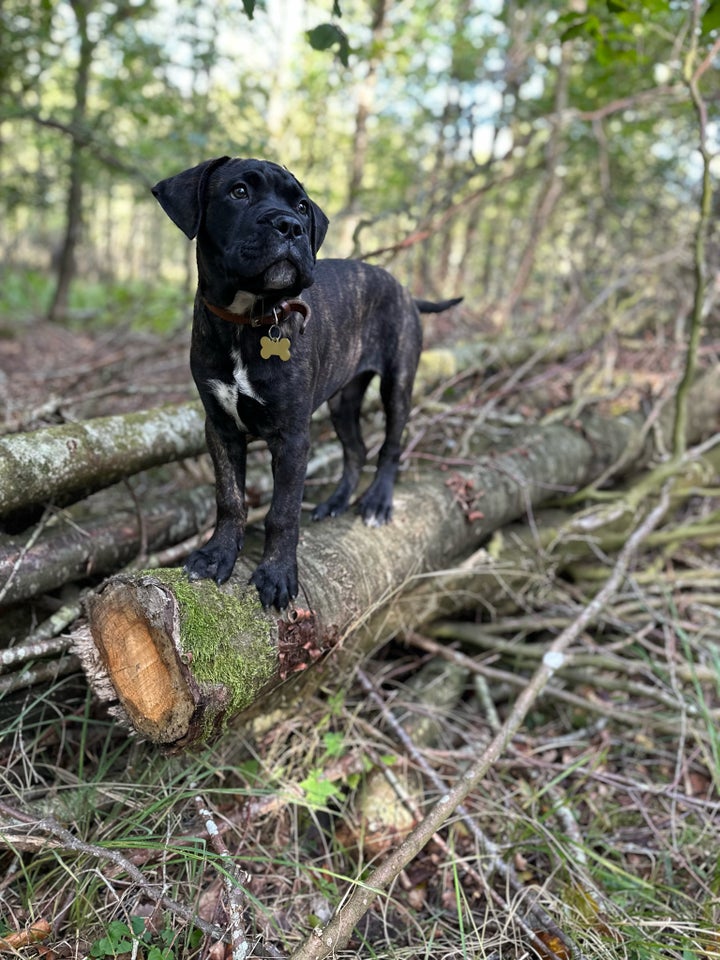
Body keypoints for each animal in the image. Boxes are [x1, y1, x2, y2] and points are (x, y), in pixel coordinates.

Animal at [153, 157, 462, 608]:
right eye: (239, 192)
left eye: (301, 206)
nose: (290, 226)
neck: (247, 320)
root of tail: (404, 290)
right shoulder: (221, 427)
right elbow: (229, 497)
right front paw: (217, 555)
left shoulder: (293, 436)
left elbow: (282, 511)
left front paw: (278, 574)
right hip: (343, 399)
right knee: (356, 449)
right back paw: (335, 502)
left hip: (398, 383)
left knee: (390, 445)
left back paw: (377, 502)